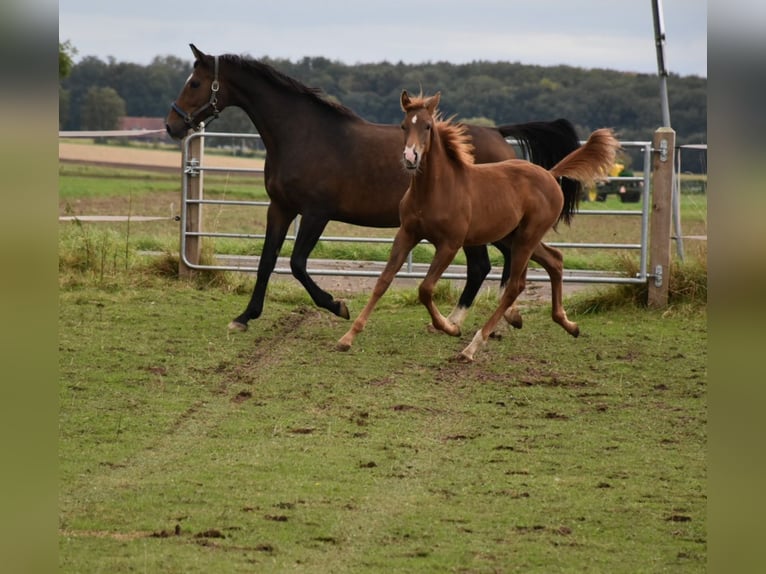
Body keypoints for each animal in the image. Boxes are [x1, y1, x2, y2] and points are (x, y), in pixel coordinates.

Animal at [166, 46, 584, 332]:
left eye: (196, 82)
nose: (173, 124)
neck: (303, 134)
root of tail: (499, 134)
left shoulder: (315, 213)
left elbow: (297, 264)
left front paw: (337, 305)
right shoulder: (281, 208)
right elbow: (268, 261)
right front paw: (244, 317)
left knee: (494, 265)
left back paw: (478, 320)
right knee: (492, 265)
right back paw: (481, 320)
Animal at [340, 92, 620, 362]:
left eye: (428, 126)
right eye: (403, 126)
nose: (410, 157)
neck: (437, 189)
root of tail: (550, 174)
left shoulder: (450, 244)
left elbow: (425, 289)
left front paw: (450, 328)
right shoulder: (407, 234)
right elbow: (383, 280)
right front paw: (348, 337)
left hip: (526, 237)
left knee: (515, 286)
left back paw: (471, 348)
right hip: (514, 237)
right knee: (555, 260)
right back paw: (568, 324)